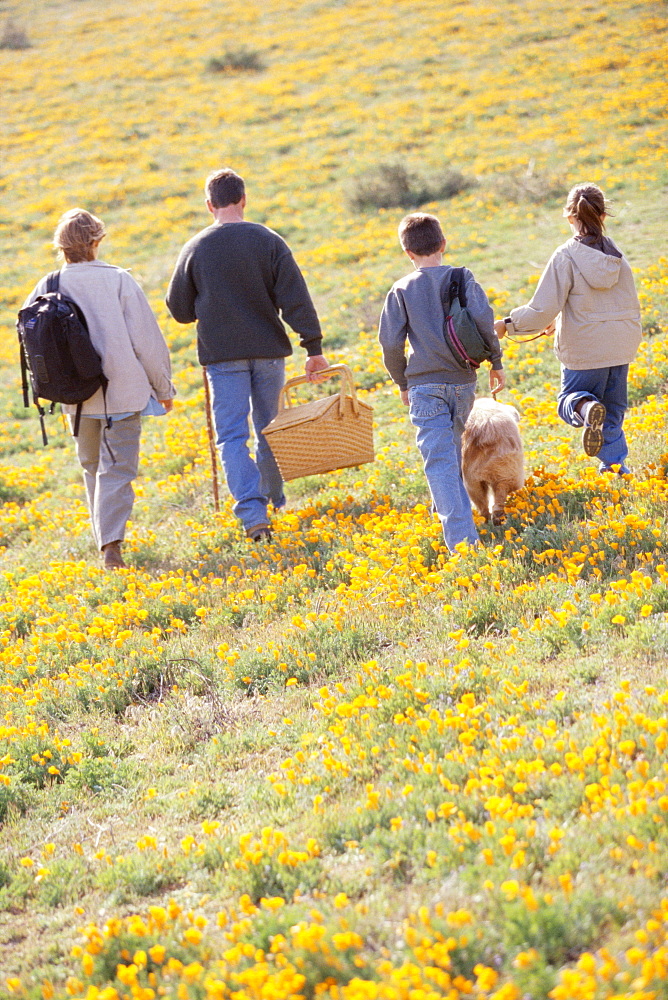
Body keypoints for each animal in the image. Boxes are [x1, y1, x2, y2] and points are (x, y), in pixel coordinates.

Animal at [462, 396, 524, 528]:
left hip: (473, 478)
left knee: (482, 501)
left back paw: (488, 519)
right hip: (508, 468)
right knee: (499, 491)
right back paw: (497, 518)